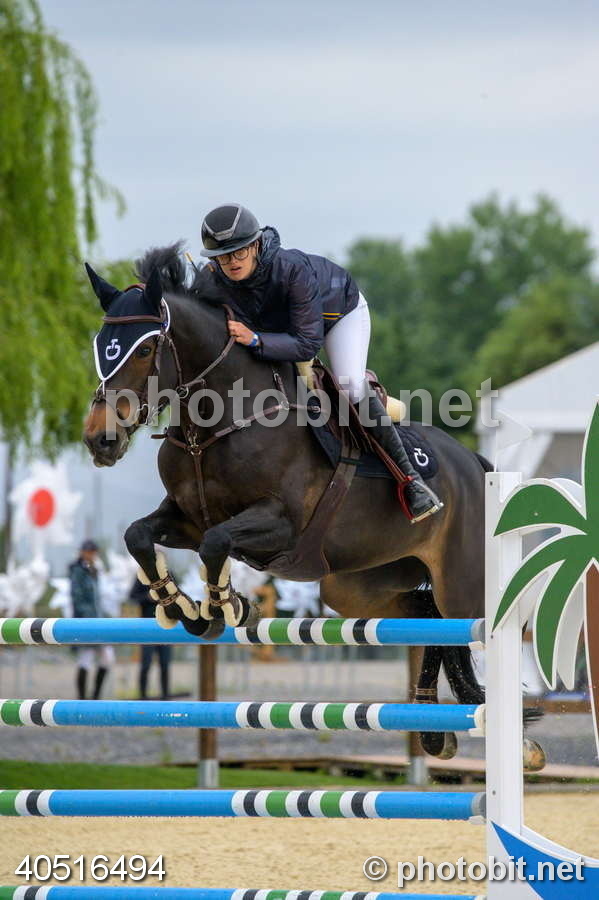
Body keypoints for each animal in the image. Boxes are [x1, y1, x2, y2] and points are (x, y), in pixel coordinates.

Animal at [83, 243, 489, 760]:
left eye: (147, 348)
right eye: (101, 346)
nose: (100, 440)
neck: (215, 425)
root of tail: (473, 462)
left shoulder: (281, 525)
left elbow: (218, 543)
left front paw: (227, 606)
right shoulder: (186, 519)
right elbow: (139, 536)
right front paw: (184, 608)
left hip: (461, 583)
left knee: (463, 624)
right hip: (357, 585)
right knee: (428, 617)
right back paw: (434, 729)